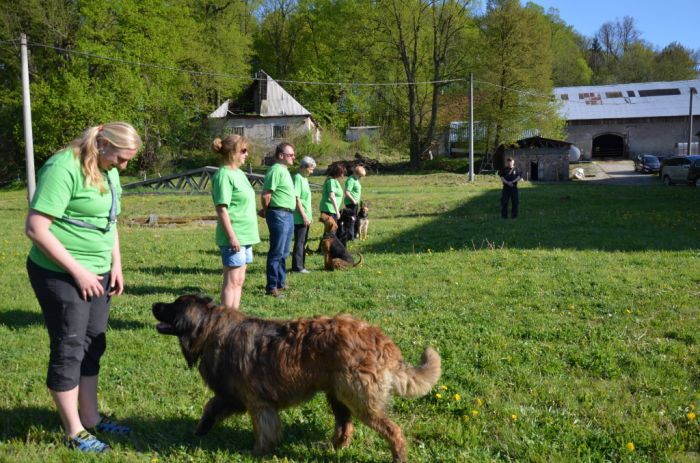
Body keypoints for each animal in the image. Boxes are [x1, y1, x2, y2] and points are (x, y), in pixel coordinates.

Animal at [152, 296, 440, 462]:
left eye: (172, 305)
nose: (154, 305)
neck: (210, 327)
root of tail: (381, 340)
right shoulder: (233, 396)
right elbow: (211, 407)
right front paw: (200, 430)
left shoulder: (257, 402)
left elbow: (264, 429)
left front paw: (257, 452)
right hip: (337, 394)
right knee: (345, 425)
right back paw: (335, 446)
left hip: (360, 399)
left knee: (392, 430)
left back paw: (398, 456)